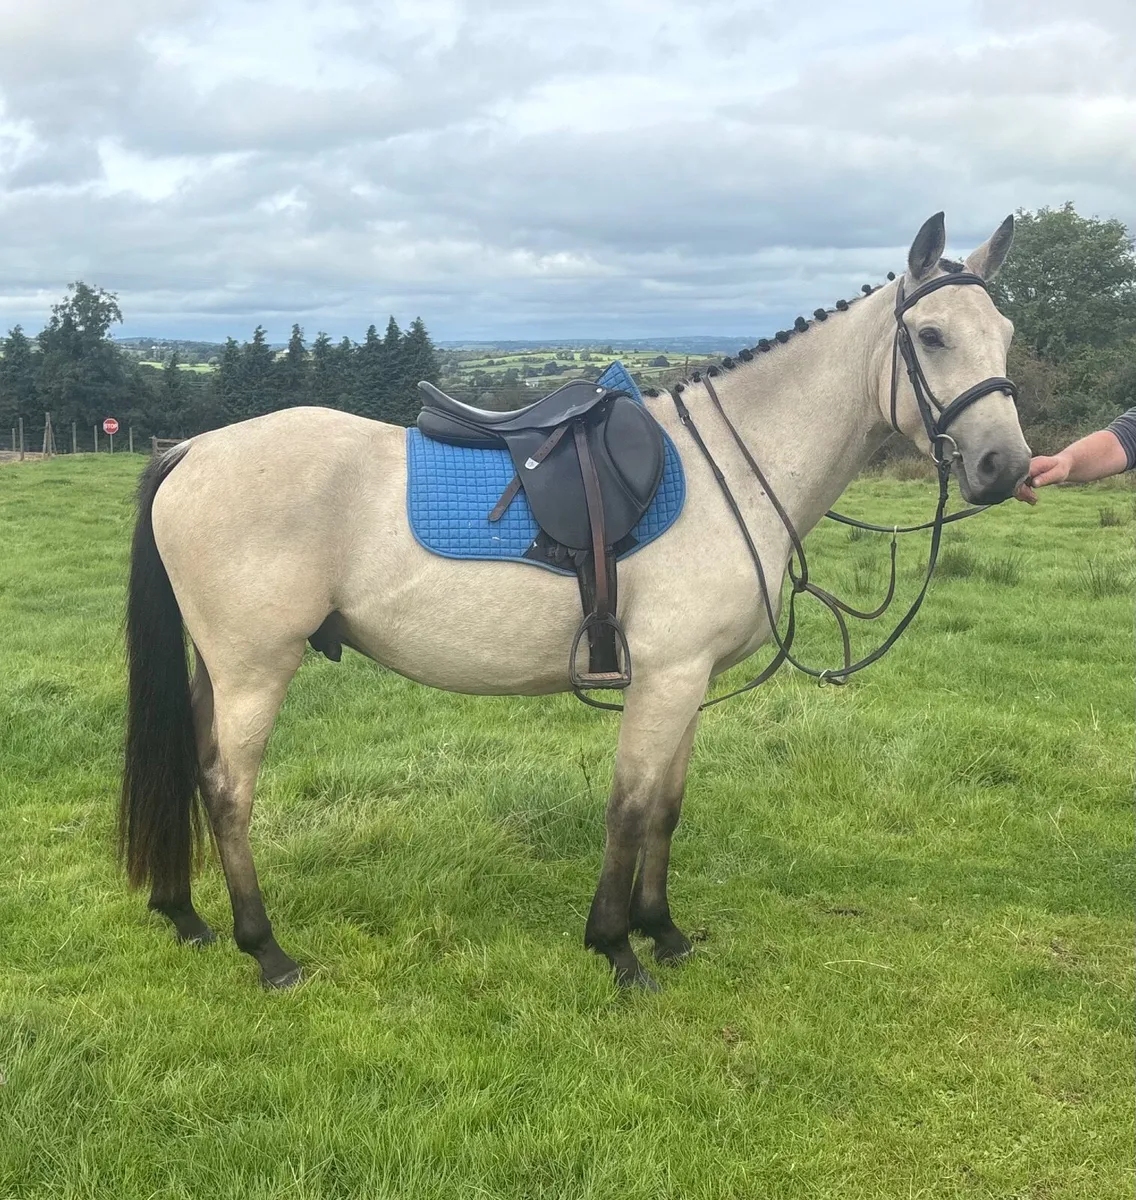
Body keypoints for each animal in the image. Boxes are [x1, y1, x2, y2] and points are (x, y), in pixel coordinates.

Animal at [119, 213, 1030, 990]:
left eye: (1007, 336)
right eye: (931, 335)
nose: (1005, 468)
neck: (732, 470)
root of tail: (193, 449)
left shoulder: (689, 680)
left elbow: (665, 808)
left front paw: (664, 931)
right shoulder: (667, 675)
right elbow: (628, 809)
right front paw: (617, 949)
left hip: (219, 670)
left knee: (194, 771)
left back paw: (186, 914)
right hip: (254, 670)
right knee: (227, 789)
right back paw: (265, 950)